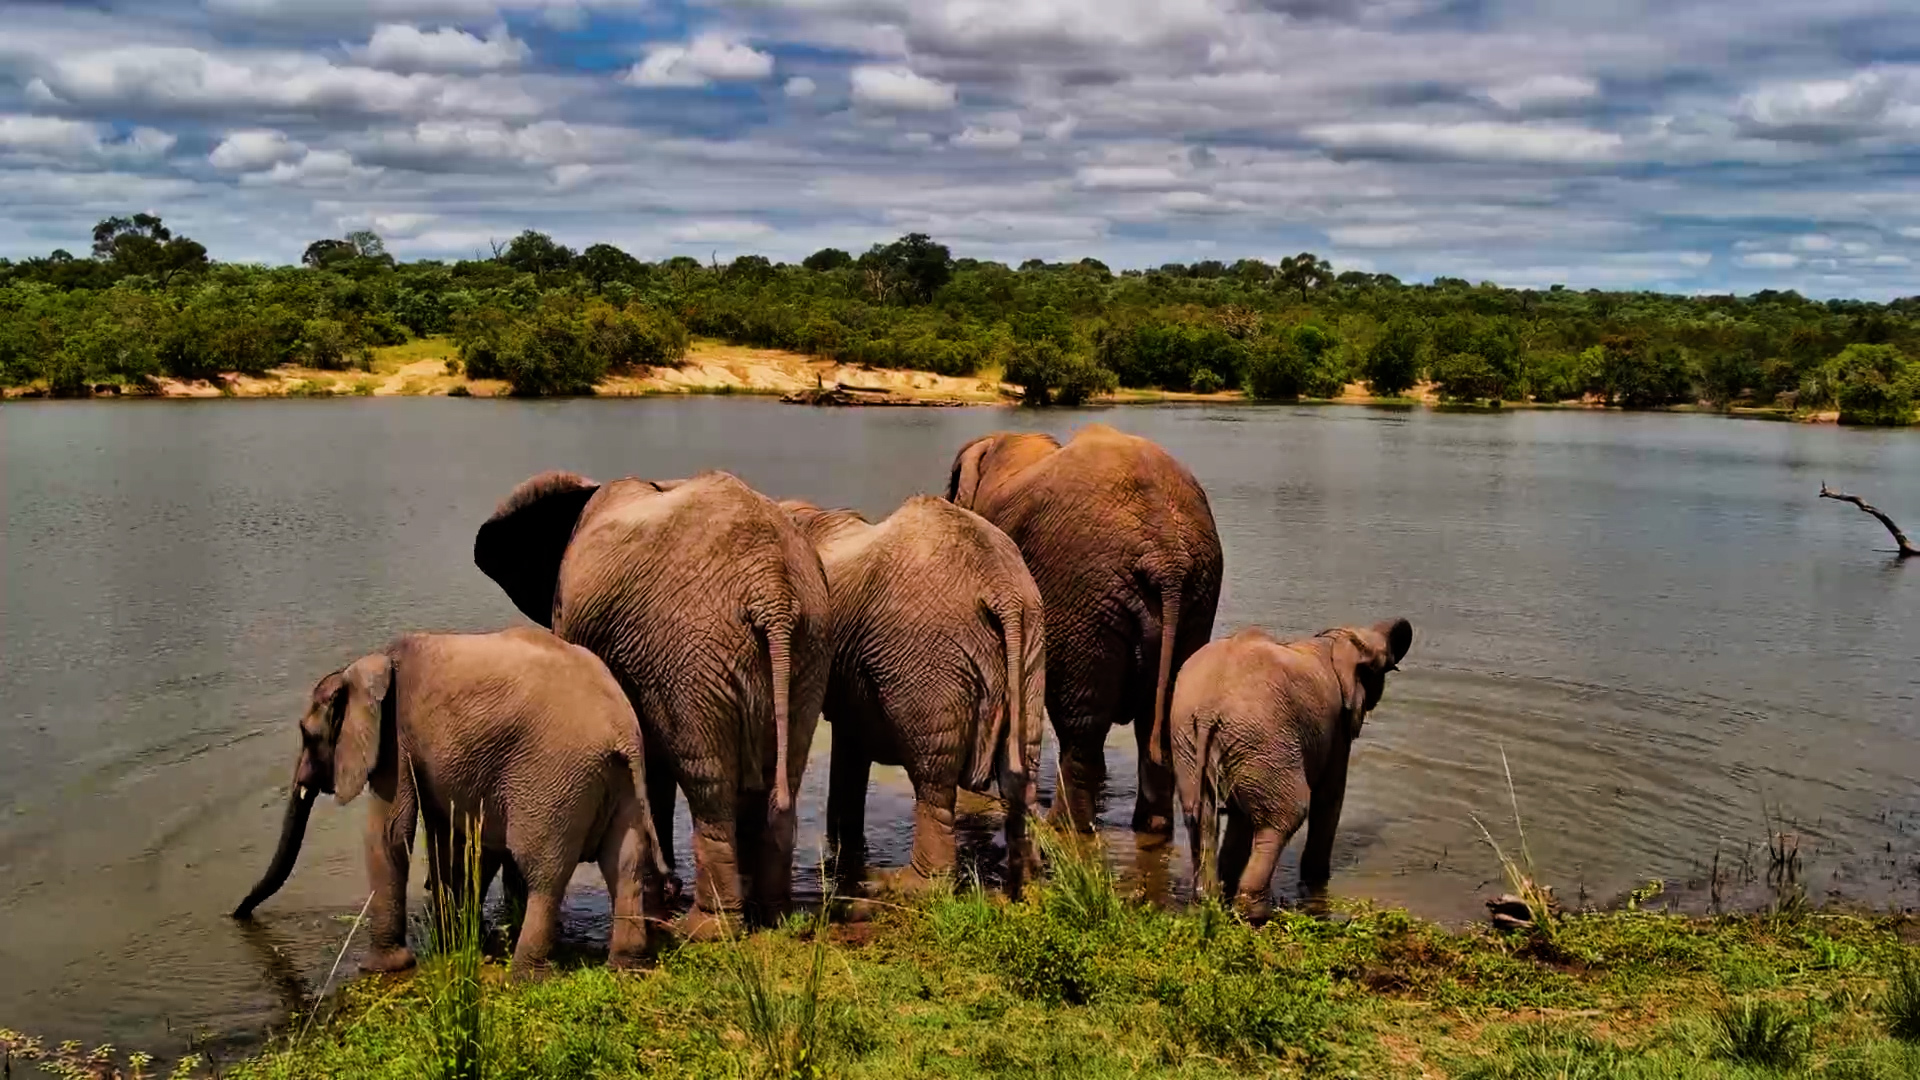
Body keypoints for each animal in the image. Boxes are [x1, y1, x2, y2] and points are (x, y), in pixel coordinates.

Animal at [230, 627, 667, 977]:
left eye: (307, 734)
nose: (237, 915)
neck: (370, 665)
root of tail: (621, 730)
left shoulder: (395, 740)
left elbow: (389, 831)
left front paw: (379, 968)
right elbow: (447, 834)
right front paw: (452, 939)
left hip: (555, 780)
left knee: (544, 872)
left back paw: (526, 975)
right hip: (620, 781)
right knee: (624, 863)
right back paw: (628, 967)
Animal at [474, 469, 831, 937]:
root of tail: (770, 586)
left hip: (693, 655)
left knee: (706, 780)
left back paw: (706, 928)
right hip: (807, 646)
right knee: (783, 771)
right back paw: (773, 917)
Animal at [780, 495, 1046, 897]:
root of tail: (1003, 591)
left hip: (927, 656)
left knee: (933, 777)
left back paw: (904, 884)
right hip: (1031, 643)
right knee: (1022, 766)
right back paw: (1026, 880)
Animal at [947, 423, 1222, 838]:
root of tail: (1168, 558)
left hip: (1084, 595)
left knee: (1082, 726)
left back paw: (1062, 827)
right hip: (1194, 598)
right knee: (1159, 718)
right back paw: (1150, 828)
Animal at [1171, 618, 1413, 921]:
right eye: (1386, 664)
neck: (1332, 642)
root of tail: (1207, 711)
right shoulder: (1337, 726)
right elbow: (1329, 797)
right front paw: (1316, 881)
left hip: (1193, 743)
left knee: (1202, 817)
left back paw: (1208, 902)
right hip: (1264, 739)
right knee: (1286, 815)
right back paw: (1256, 913)